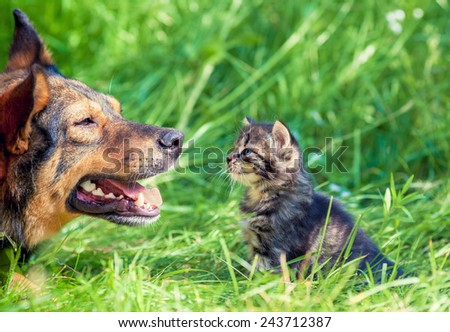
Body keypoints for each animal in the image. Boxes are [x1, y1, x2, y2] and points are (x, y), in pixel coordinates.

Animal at [227, 117, 402, 280]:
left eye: (246, 151)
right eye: (234, 146)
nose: (228, 158)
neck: (263, 195)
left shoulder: (273, 250)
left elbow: (262, 276)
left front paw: (247, 287)